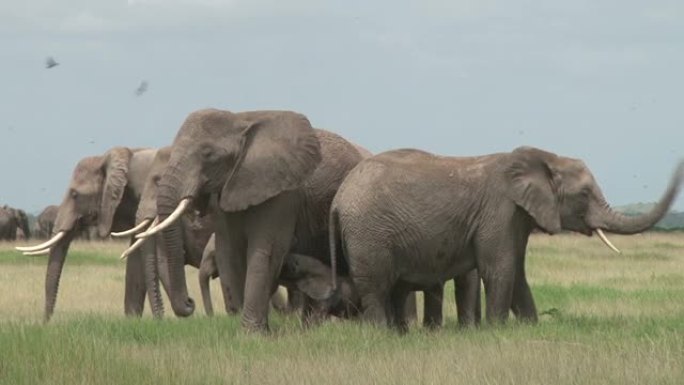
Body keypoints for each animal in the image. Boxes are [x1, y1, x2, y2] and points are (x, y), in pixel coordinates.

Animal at [138, 109, 374, 332]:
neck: (240, 120)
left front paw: (252, 333)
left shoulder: (283, 191)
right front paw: (241, 328)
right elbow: (229, 251)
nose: (190, 302)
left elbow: (265, 251)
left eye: (208, 154)